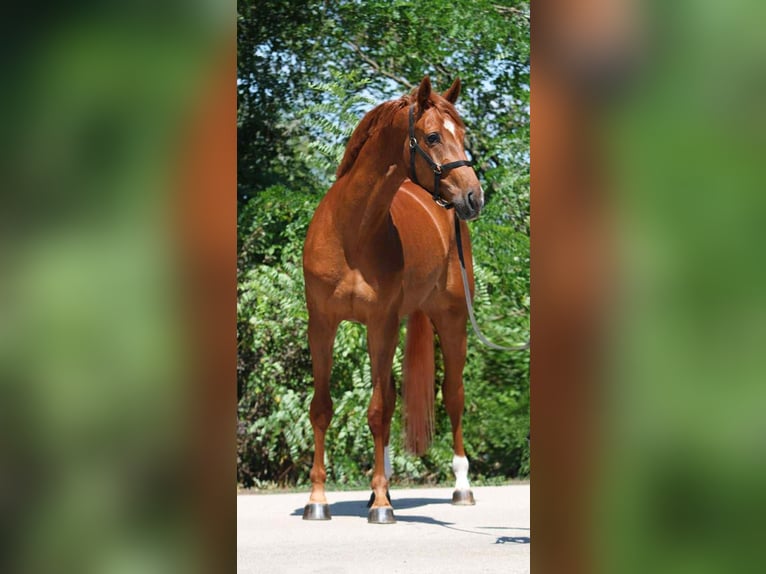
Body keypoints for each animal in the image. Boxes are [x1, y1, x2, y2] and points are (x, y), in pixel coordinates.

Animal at [302, 75, 483, 524]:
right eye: (433, 136)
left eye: (463, 135)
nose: (475, 197)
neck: (350, 232)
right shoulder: (322, 325)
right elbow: (322, 407)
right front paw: (318, 500)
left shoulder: (380, 323)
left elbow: (378, 410)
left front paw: (383, 505)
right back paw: (373, 489)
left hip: (451, 320)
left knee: (453, 395)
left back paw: (460, 487)